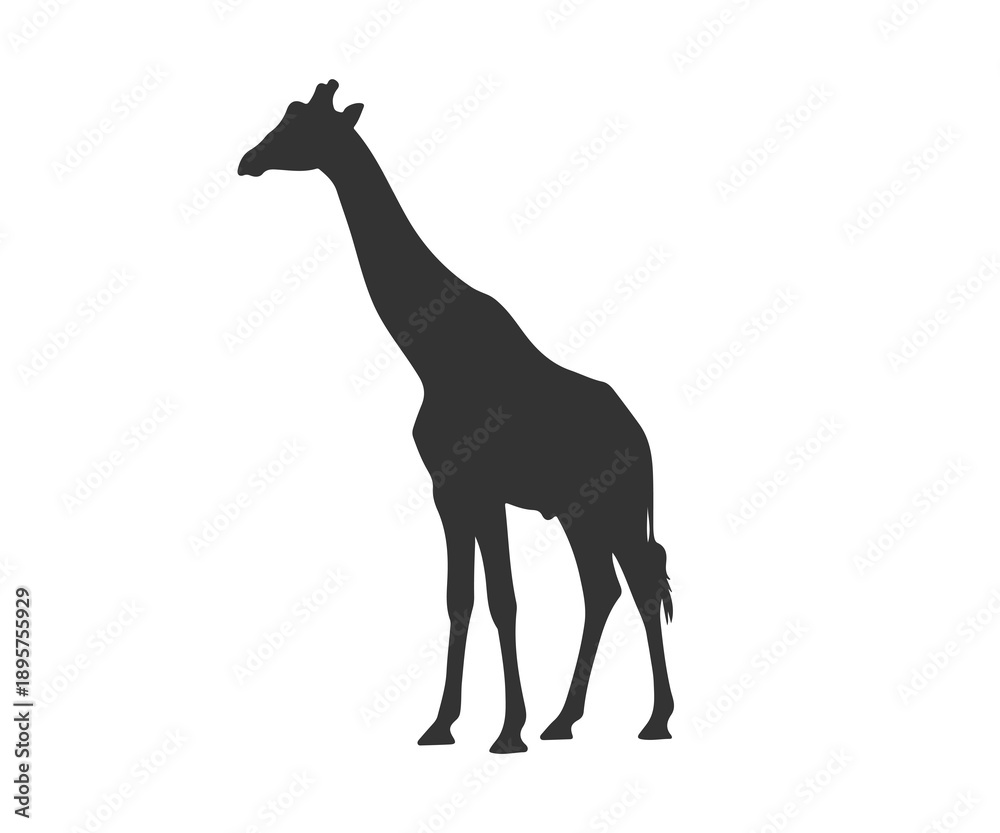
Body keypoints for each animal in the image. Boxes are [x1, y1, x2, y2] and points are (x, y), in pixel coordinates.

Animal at [239, 80, 673, 753]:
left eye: (302, 126)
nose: (248, 160)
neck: (433, 353)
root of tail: (644, 437)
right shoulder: (450, 489)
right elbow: (460, 598)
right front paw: (443, 724)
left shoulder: (482, 487)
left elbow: (502, 600)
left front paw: (508, 730)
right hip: (580, 512)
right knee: (605, 590)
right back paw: (566, 720)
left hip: (615, 507)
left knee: (641, 588)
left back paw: (652, 722)